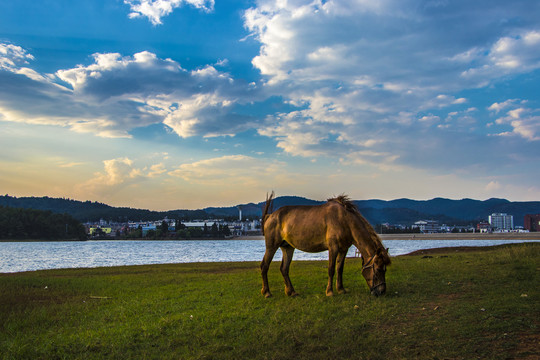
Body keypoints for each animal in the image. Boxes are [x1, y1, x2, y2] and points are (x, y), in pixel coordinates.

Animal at [260, 193, 390, 296]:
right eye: (378, 270)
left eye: (385, 270)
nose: (382, 291)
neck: (345, 220)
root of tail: (270, 216)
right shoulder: (333, 248)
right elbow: (331, 269)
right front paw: (330, 291)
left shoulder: (344, 249)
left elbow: (339, 269)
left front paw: (341, 289)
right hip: (271, 246)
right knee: (264, 266)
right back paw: (267, 292)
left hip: (288, 247)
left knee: (284, 269)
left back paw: (291, 292)